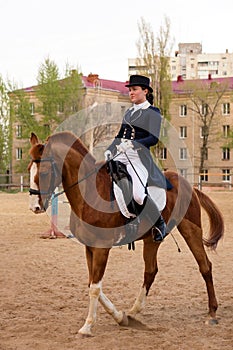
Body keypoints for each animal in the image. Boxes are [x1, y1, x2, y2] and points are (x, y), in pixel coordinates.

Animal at [27, 131, 224, 336]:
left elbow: (95, 288)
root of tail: (188, 185)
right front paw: (120, 317)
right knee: (151, 271)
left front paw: (87, 326)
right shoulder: (89, 247)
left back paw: (212, 313)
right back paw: (133, 311)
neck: (89, 193)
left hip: (190, 229)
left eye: (44, 172)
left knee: (205, 266)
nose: (34, 207)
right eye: (28, 170)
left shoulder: (101, 248)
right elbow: (92, 284)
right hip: (152, 239)